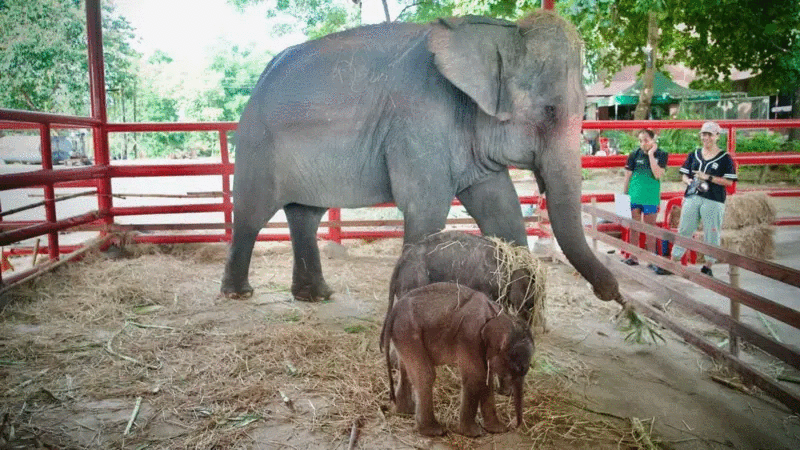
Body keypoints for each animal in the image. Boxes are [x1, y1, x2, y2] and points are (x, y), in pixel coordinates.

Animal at [222, 10, 620, 304]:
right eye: (550, 111)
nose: (612, 294)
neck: (500, 30)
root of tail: (261, 78)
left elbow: (501, 208)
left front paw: (520, 313)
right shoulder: (419, 120)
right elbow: (426, 208)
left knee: (305, 215)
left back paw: (316, 296)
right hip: (258, 145)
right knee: (253, 214)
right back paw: (239, 294)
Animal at [380, 284, 532, 438]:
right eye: (518, 368)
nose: (514, 425)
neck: (497, 315)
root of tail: (393, 312)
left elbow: (486, 380)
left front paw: (498, 429)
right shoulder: (470, 336)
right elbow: (476, 376)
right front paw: (474, 434)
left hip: (402, 334)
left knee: (405, 369)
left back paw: (405, 412)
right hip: (409, 331)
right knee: (425, 375)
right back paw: (434, 431)